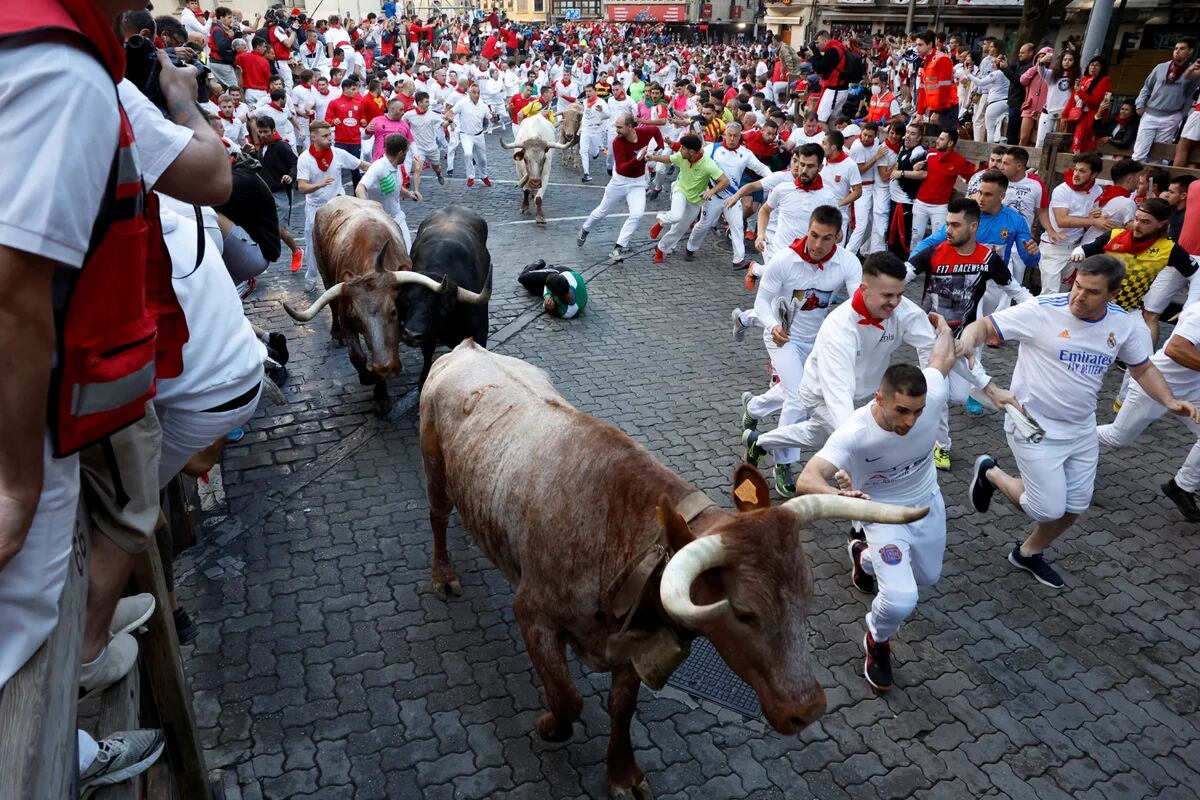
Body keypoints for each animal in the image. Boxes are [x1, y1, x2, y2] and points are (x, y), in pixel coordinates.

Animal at [283, 196, 484, 417]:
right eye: (357, 317)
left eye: (394, 311)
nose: (386, 368)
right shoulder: (347, 318)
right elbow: (358, 356)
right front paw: (371, 383)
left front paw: (381, 392)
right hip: (324, 273)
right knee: (332, 305)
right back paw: (336, 334)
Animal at [422, 343, 926, 796]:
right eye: (743, 612)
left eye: (807, 596)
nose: (809, 708)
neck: (613, 528)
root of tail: (467, 348)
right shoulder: (532, 613)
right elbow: (567, 697)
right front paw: (549, 725)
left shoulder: (634, 644)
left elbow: (620, 706)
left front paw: (623, 775)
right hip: (435, 469)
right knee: (438, 518)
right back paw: (443, 575)